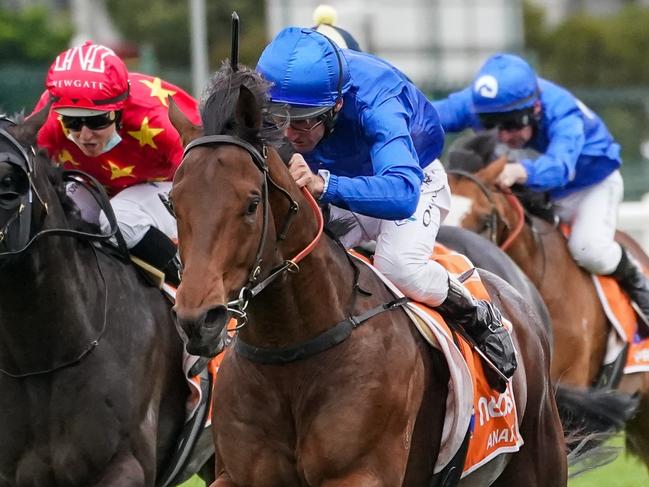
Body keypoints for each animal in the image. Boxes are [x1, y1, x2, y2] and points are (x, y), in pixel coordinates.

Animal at [162, 63, 624, 486]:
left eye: (251, 203)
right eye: (172, 203)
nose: (198, 320)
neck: (292, 351)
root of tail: (518, 297)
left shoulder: (359, 475)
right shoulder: (236, 474)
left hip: (538, 457)